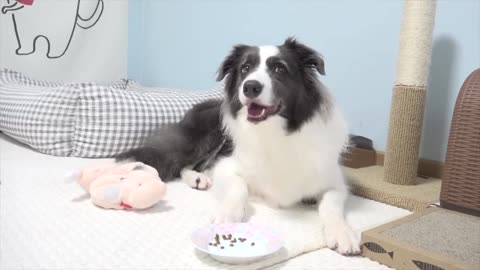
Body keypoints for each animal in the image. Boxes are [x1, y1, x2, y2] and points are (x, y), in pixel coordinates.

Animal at [117, 38, 360, 255]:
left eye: (279, 68)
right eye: (245, 68)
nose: (250, 86)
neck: (273, 132)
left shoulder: (335, 183)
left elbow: (331, 205)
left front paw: (342, 233)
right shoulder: (226, 166)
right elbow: (239, 187)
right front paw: (228, 213)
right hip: (211, 135)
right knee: (184, 165)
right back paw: (198, 178)